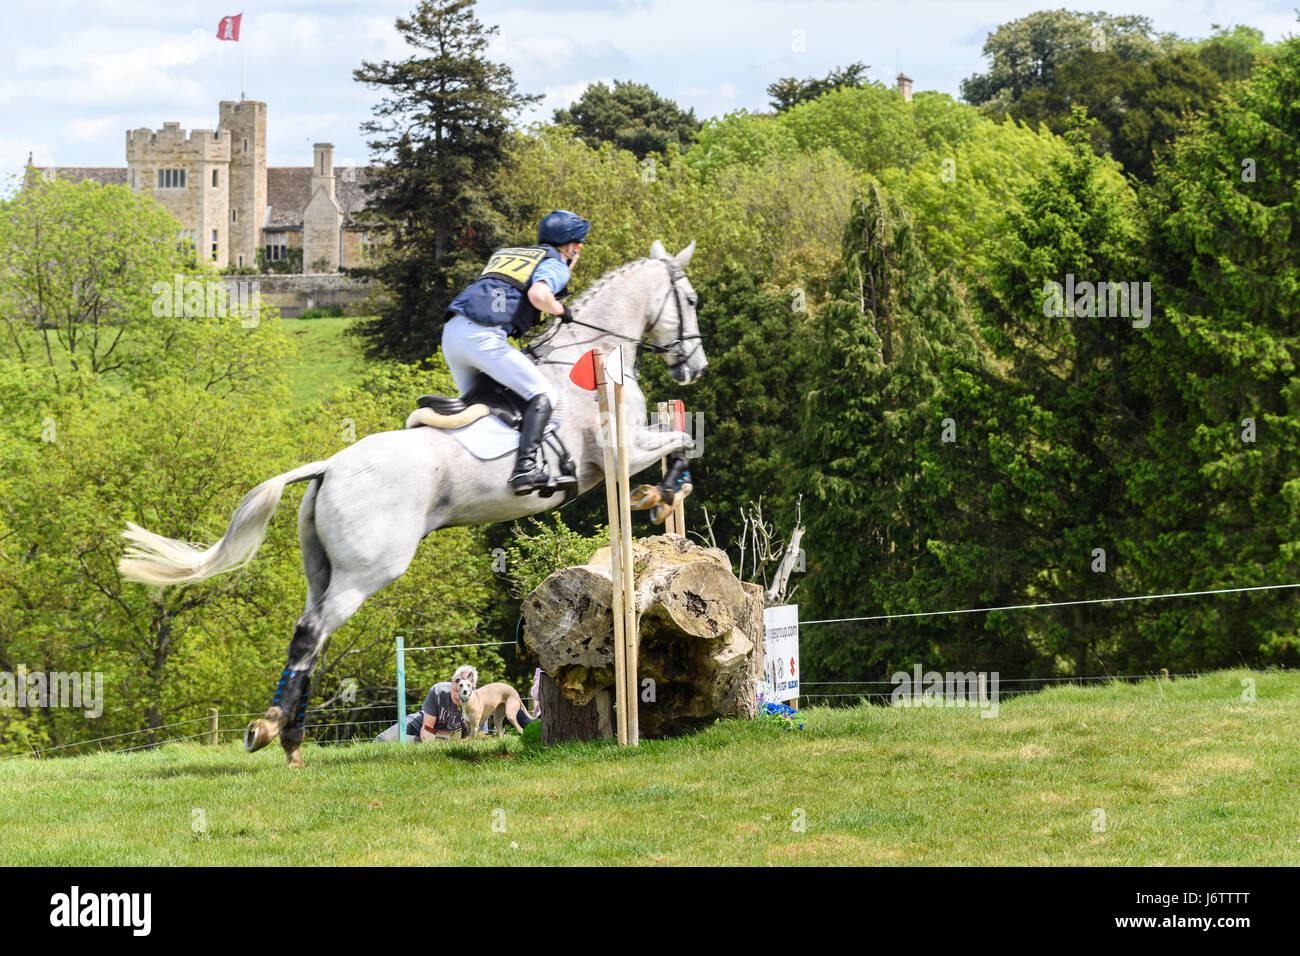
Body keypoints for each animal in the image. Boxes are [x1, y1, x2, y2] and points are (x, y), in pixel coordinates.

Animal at [116, 240, 707, 770]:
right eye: (691, 299)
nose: (694, 368)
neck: (592, 353)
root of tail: (328, 466)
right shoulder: (616, 453)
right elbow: (682, 442)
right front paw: (660, 495)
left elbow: (681, 440)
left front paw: (665, 498)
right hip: (370, 568)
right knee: (312, 632)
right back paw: (269, 730)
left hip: (321, 568)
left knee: (310, 635)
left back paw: (290, 740)